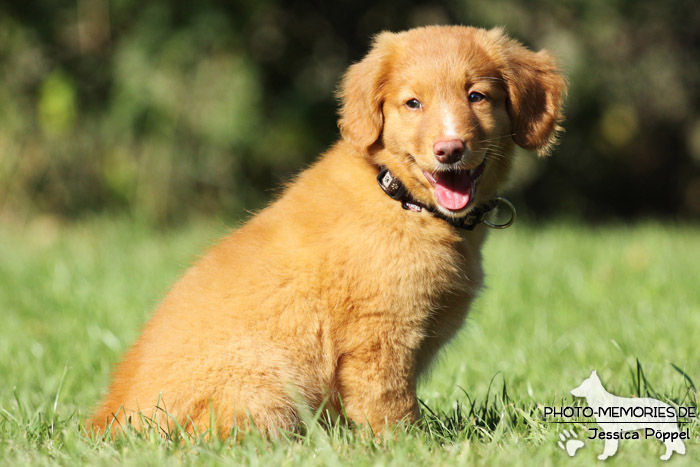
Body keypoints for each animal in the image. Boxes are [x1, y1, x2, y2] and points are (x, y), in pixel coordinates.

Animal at [90, 26, 568, 438]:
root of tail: (106, 426)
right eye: (413, 104)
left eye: (477, 96)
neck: (400, 198)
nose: (449, 150)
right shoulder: (379, 337)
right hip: (266, 382)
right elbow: (389, 405)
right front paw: (408, 447)